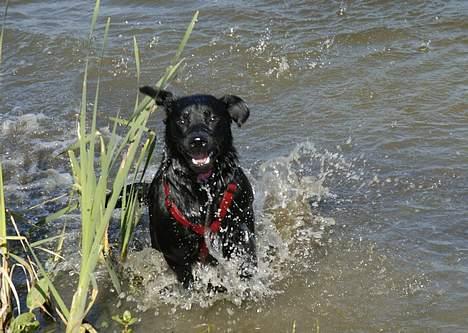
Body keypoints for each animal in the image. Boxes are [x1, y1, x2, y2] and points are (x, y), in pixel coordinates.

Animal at [139, 85, 256, 288]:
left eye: (212, 118)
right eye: (182, 120)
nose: (198, 141)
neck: (203, 188)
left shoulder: (241, 230)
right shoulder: (177, 257)